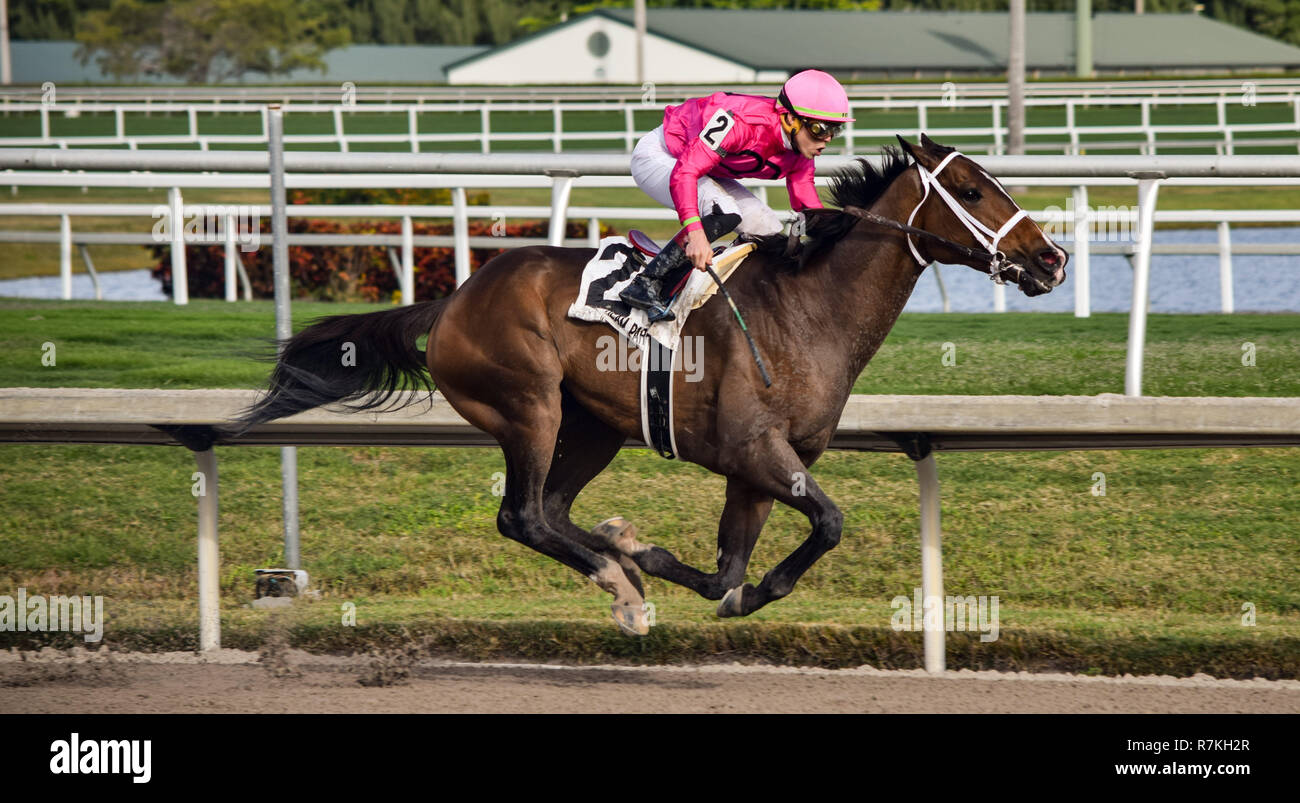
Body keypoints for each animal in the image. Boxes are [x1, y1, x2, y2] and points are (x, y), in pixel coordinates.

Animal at [231, 135, 1066, 631]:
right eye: (972, 188)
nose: (1051, 257)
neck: (805, 307)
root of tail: (454, 298)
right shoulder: (754, 450)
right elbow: (828, 523)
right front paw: (644, 555)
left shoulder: (759, 468)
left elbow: (732, 570)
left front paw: (691, 571)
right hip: (528, 406)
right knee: (521, 515)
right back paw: (620, 581)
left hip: (592, 427)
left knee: (552, 508)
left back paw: (618, 572)